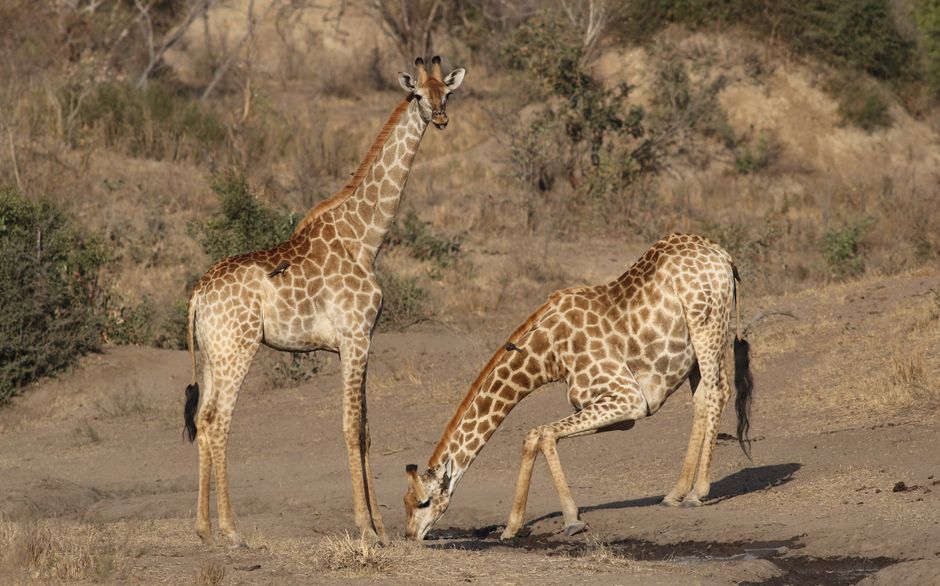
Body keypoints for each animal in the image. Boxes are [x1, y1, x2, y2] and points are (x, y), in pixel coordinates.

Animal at [181, 56, 466, 546]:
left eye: (445, 93)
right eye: (417, 95)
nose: (441, 118)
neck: (365, 239)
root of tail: (198, 294)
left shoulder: (360, 340)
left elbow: (367, 429)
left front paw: (379, 528)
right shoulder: (354, 337)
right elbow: (351, 428)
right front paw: (366, 529)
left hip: (212, 353)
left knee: (202, 419)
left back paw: (203, 530)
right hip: (238, 349)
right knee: (219, 422)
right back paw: (233, 532)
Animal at [403, 233, 754, 540]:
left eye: (423, 502)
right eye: (405, 503)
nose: (410, 535)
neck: (548, 355)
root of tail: (725, 257)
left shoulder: (628, 398)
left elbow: (542, 432)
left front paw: (571, 521)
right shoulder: (609, 410)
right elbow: (537, 435)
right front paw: (512, 528)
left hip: (707, 326)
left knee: (717, 393)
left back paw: (697, 493)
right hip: (695, 348)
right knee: (702, 400)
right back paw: (676, 492)